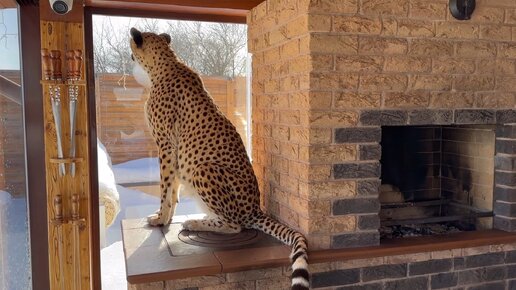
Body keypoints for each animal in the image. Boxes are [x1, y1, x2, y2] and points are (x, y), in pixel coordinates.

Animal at [129, 27, 308, 290]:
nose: (130, 55)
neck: (165, 63)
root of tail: (255, 209)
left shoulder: (166, 144)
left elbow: (165, 187)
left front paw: (161, 218)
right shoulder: (175, 150)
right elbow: (173, 186)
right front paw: (168, 216)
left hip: (203, 169)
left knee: (234, 226)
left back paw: (195, 223)